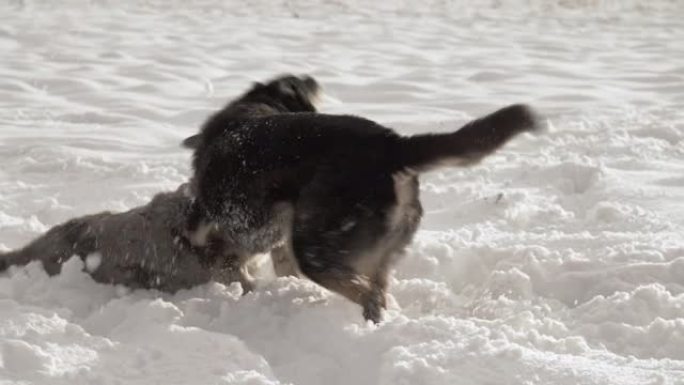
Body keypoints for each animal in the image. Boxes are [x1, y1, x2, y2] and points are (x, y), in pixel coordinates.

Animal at [183, 73, 540, 320]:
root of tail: (393, 145)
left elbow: (210, 240)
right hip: (381, 245)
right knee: (376, 290)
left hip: (316, 248)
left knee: (365, 293)